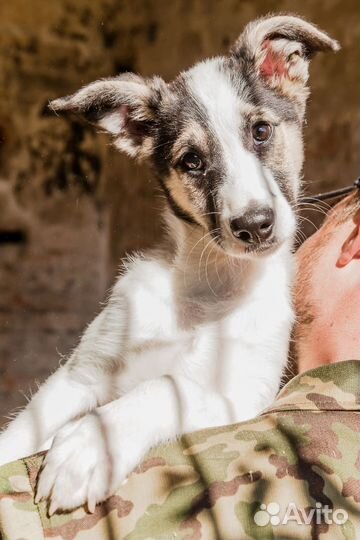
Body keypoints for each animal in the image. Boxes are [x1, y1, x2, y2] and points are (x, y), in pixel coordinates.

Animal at [0, 14, 338, 512]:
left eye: (261, 131)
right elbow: (19, 434)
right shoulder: (80, 375)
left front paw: (89, 448)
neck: (208, 289)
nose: (254, 226)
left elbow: (167, 385)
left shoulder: (243, 396)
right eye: (192, 161)